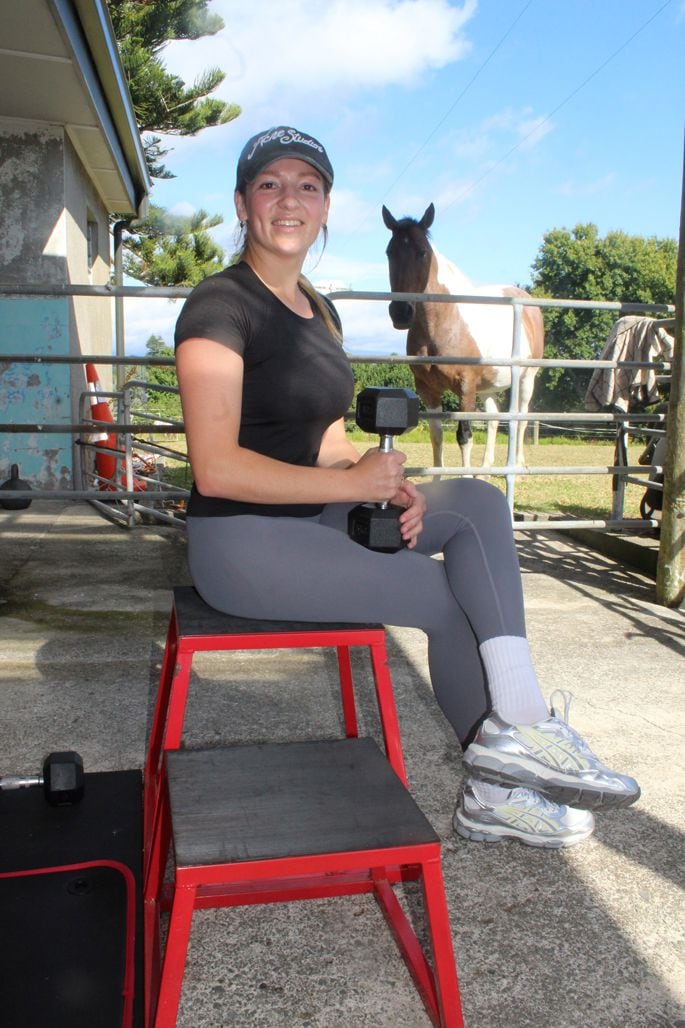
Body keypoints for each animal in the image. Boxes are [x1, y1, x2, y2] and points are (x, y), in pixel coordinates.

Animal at [378, 202, 543, 468]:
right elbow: (436, 436)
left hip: (526, 379)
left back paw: (517, 465)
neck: (443, 325)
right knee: (494, 417)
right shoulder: (427, 389)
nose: (401, 312)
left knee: (520, 419)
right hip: (488, 386)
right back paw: (484, 470)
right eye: (389, 252)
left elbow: (464, 437)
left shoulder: (466, 387)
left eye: (422, 252)